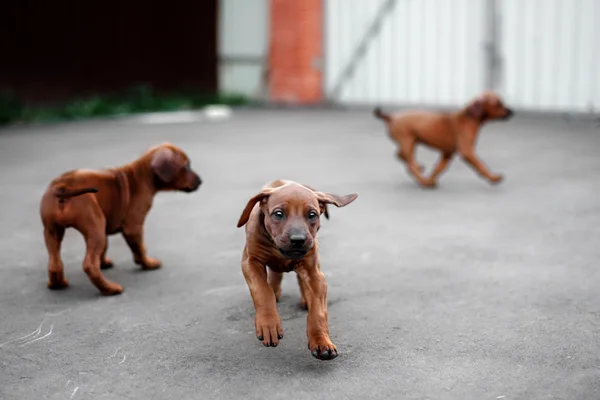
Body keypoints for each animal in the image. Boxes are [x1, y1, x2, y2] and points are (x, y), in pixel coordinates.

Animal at [38, 142, 202, 296]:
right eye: (187, 166)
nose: (201, 181)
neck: (142, 175)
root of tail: (62, 186)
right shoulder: (133, 227)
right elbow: (140, 247)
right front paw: (147, 263)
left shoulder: (105, 226)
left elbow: (105, 247)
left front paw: (104, 262)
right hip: (94, 226)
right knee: (89, 265)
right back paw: (110, 289)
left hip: (53, 230)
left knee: (54, 262)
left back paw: (57, 284)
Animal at [236, 180, 356, 360]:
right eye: (278, 214)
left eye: (312, 215)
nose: (298, 240)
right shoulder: (250, 261)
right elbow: (262, 291)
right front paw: (268, 323)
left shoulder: (315, 275)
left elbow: (318, 312)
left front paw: (322, 341)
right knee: (274, 277)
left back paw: (305, 298)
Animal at [372, 92, 512, 188]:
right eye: (498, 103)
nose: (511, 112)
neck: (469, 118)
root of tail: (391, 117)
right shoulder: (467, 151)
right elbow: (481, 165)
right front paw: (493, 178)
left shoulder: (448, 152)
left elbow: (439, 168)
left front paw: (432, 178)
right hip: (408, 141)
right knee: (409, 165)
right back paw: (423, 181)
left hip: (410, 142)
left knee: (401, 156)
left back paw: (420, 168)